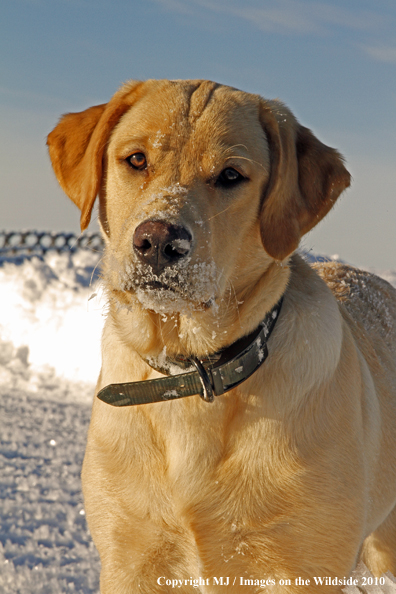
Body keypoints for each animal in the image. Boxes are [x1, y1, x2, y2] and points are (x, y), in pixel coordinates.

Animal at [47, 80, 396, 592]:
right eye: (136, 159)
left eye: (231, 175)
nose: (158, 241)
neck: (192, 376)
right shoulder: (130, 556)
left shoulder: (303, 565)